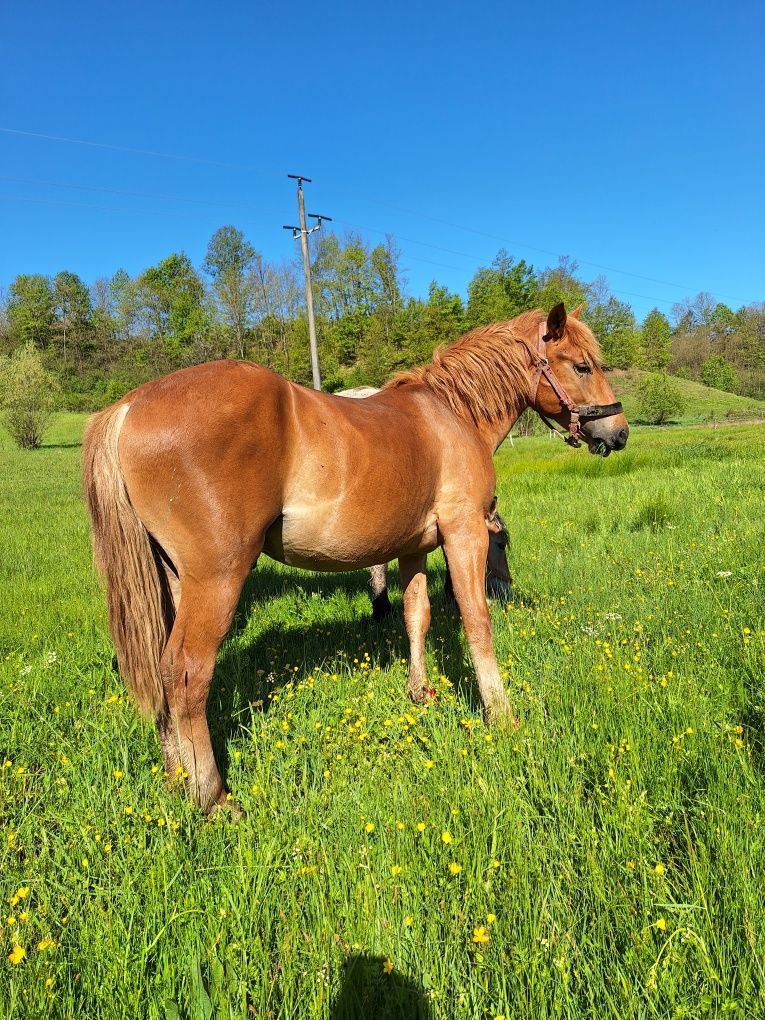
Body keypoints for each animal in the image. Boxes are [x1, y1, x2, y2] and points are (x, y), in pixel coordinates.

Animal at [82, 301, 628, 811]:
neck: (452, 415)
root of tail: (127, 407)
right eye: (582, 366)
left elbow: (416, 616)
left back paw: (177, 777)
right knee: (186, 672)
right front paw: (501, 714)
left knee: (160, 671)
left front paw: (421, 693)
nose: (619, 431)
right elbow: (476, 621)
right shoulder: (463, 533)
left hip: (173, 579)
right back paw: (212, 796)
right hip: (217, 579)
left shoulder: (413, 549)